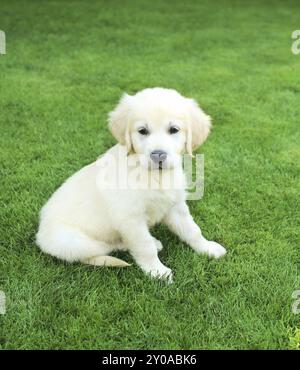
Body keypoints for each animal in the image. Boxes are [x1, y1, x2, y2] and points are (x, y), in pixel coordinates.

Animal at [36, 88, 225, 282]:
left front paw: (207, 248)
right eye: (143, 131)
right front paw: (158, 271)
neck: (154, 176)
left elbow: (192, 230)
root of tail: (40, 234)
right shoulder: (130, 218)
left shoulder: (175, 206)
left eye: (174, 130)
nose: (158, 155)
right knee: (107, 247)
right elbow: (144, 245)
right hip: (73, 242)